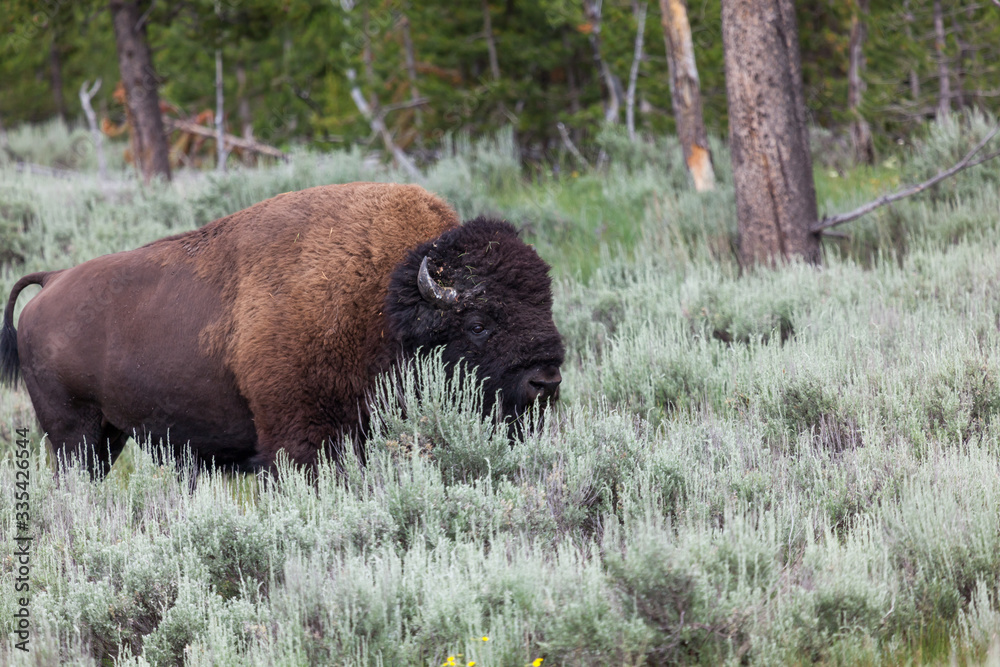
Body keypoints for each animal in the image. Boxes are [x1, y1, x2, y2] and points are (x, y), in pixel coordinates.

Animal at [0, 183, 564, 477]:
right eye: (477, 323)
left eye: (547, 304)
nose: (546, 380)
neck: (384, 303)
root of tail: (52, 280)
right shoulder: (302, 439)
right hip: (74, 435)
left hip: (108, 436)